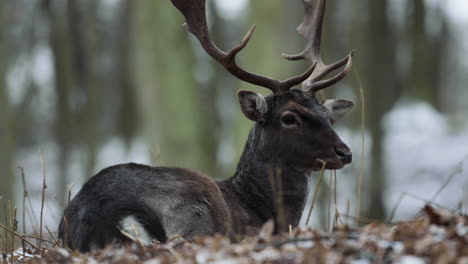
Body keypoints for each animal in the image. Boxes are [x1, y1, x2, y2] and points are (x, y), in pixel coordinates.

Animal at [58, 0, 354, 252]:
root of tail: (98, 212)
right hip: (195, 210)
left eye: (327, 116)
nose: (345, 152)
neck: (260, 208)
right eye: (289, 117)